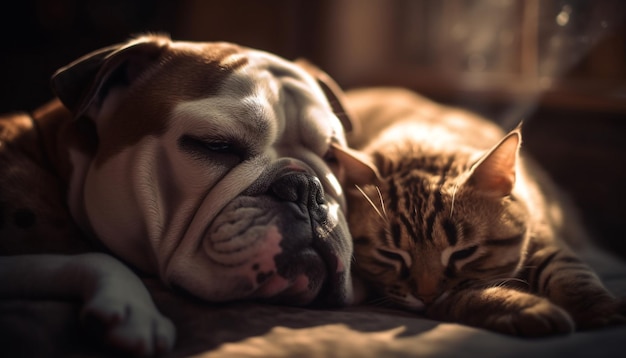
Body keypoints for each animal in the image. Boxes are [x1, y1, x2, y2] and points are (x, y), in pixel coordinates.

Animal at [342, 86, 624, 336]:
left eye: (464, 252)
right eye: (389, 254)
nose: (426, 296)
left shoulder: (544, 235)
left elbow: (569, 271)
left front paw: (599, 308)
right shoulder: (450, 297)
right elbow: (477, 297)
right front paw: (529, 309)